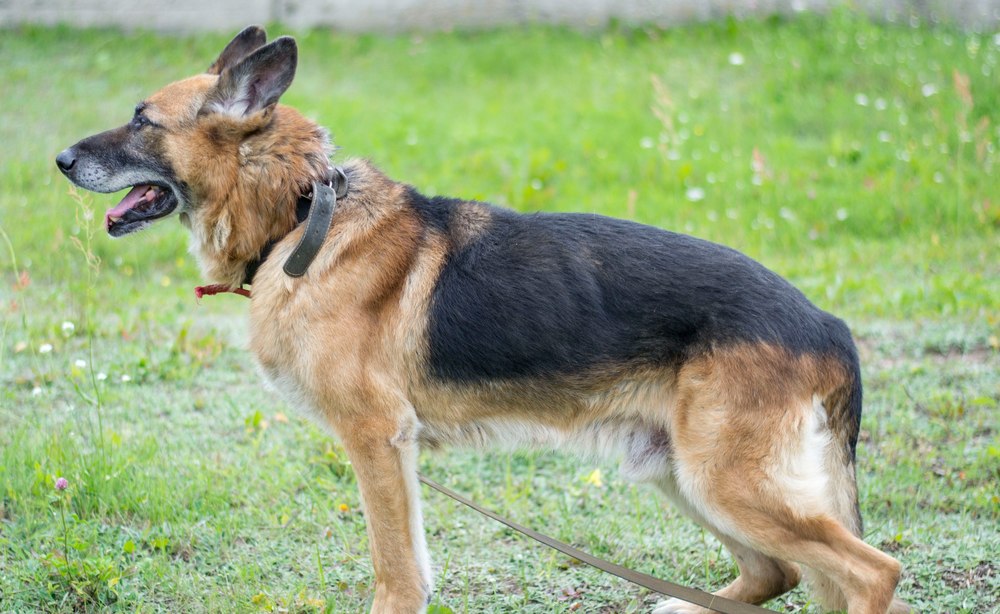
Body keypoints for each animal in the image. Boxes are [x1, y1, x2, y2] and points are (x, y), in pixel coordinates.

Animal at [56, 25, 916, 614]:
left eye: (142, 120)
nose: (60, 160)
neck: (302, 215)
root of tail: (827, 323)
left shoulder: (377, 439)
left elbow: (396, 568)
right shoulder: (393, 451)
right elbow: (409, 559)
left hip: (723, 479)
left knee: (870, 569)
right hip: (678, 469)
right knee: (784, 570)